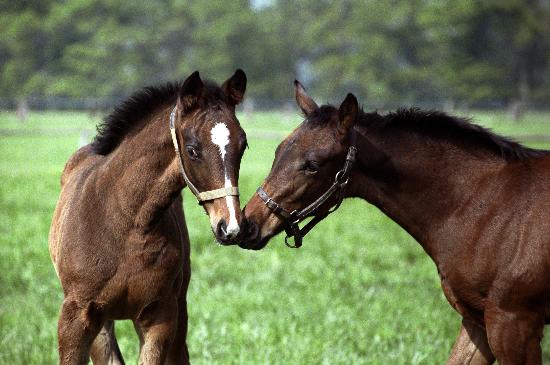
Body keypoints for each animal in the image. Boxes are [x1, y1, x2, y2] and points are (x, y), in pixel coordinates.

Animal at [49, 69, 248, 362]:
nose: (231, 226)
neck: (124, 221)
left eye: (243, 145)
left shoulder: (160, 315)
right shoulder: (76, 316)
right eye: (192, 149)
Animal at [242, 81, 550, 362]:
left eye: (312, 165)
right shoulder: (478, 319)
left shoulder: (513, 324)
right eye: (278, 151)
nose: (247, 226)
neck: (483, 205)